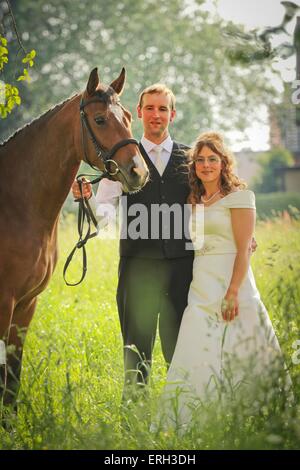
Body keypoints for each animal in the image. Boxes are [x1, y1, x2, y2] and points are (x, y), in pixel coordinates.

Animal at [0, 67, 149, 412]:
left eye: (127, 116)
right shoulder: (3, 303)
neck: (13, 204)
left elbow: (11, 381)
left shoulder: (25, 306)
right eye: (100, 120)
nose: (138, 172)